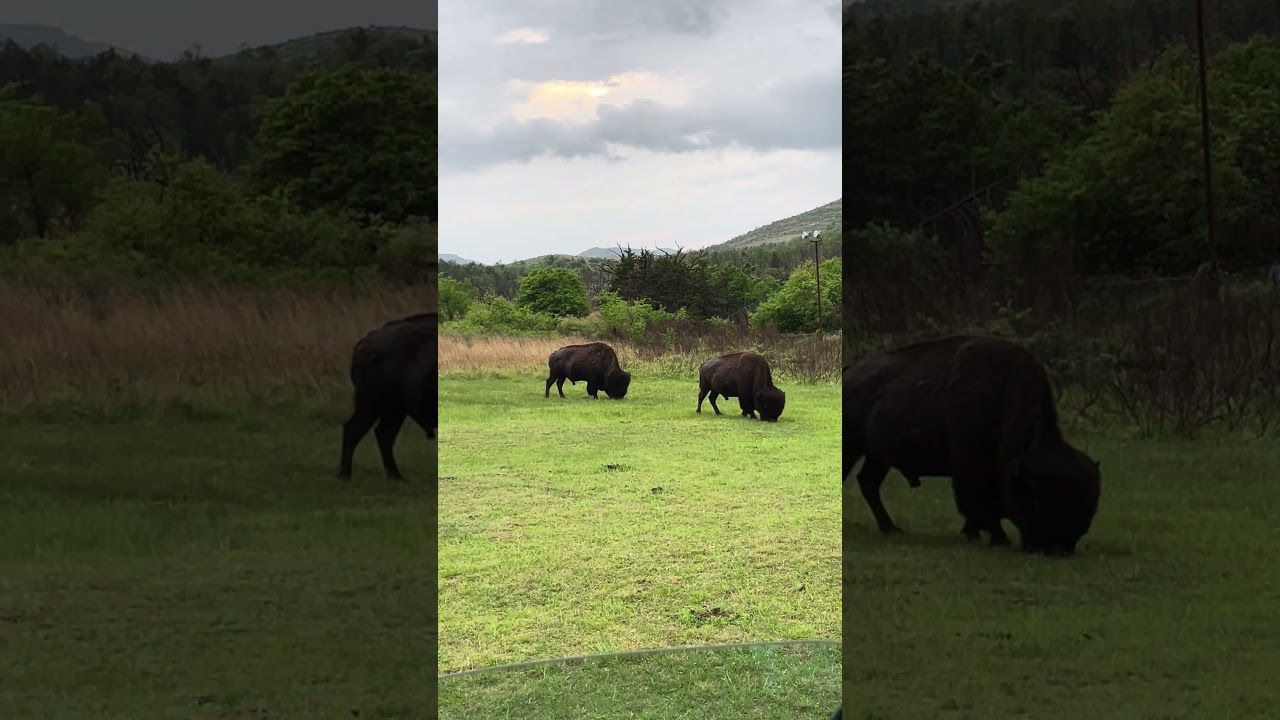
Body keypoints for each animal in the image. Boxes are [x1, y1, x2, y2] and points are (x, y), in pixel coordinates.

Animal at [338, 312, 438, 481]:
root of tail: (364, 342)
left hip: (395, 410)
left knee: (383, 434)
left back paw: (396, 477)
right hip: (372, 405)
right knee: (354, 430)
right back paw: (346, 476)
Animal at [843, 334, 1101, 556]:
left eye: (1089, 509)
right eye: (1039, 502)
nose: (1059, 550)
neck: (1005, 393)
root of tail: (849, 375)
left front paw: (972, 534)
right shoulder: (973, 468)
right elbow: (980, 502)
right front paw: (998, 539)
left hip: (877, 457)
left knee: (868, 483)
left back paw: (891, 529)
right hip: (853, 449)